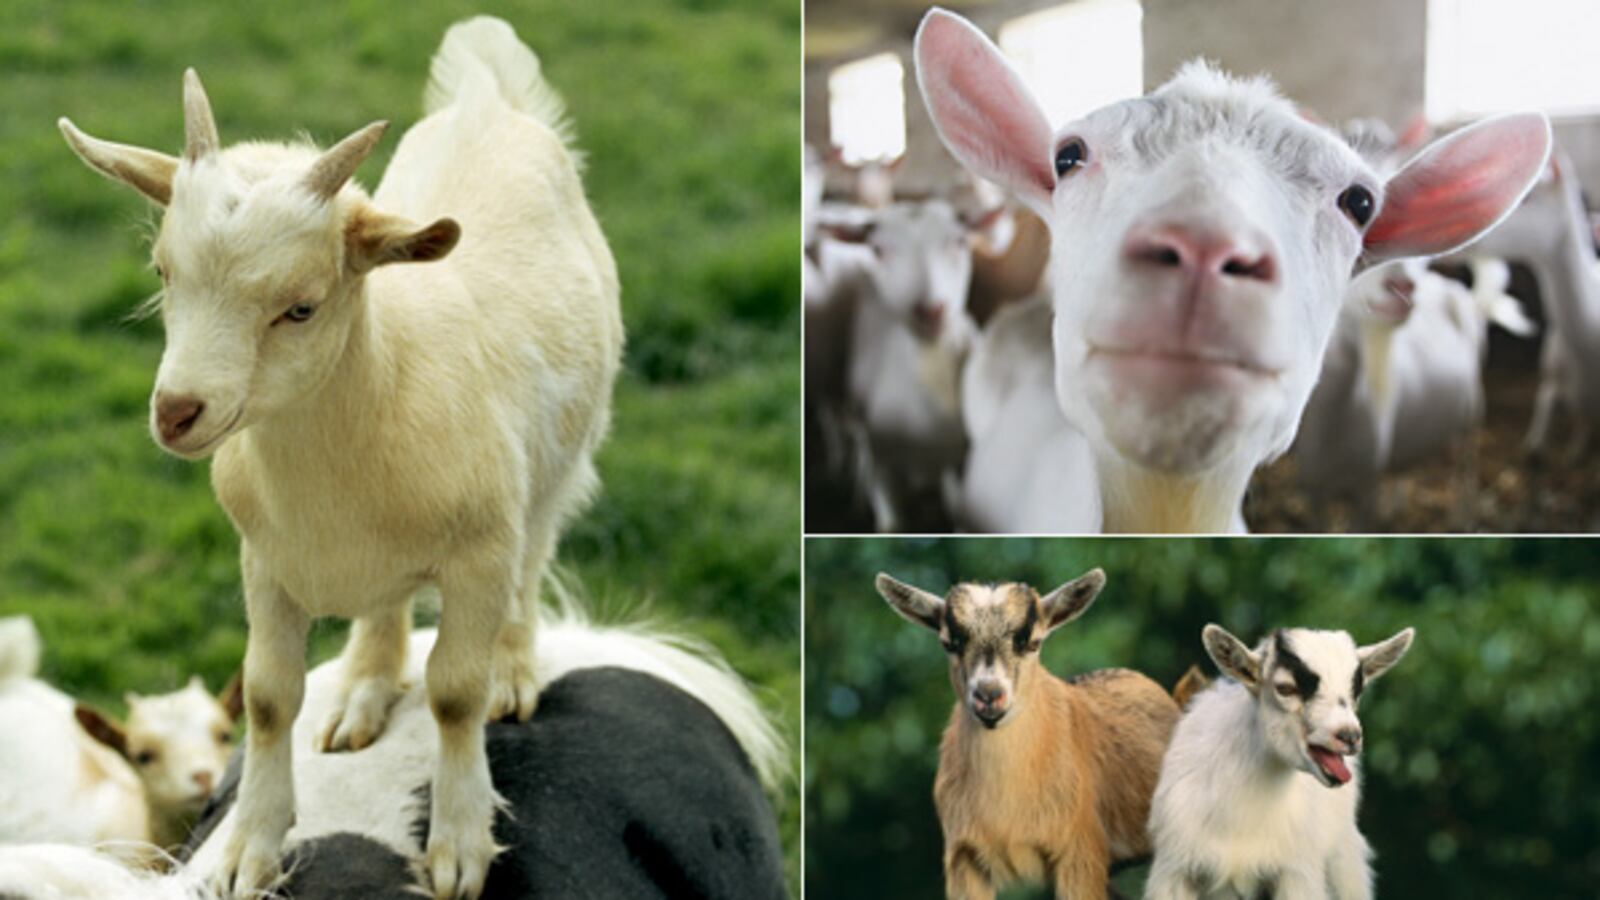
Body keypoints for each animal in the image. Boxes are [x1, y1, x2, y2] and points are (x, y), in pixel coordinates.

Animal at [59, 16, 622, 897]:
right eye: (162, 271)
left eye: (301, 307)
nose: (177, 412)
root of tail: (486, 98)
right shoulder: (264, 561)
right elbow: (267, 696)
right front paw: (250, 847)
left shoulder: (480, 553)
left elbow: (454, 693)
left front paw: (460, 843)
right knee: (383, 609)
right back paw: (363, 688)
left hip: (560, 463)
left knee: (535, 557)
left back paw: (512, 668)